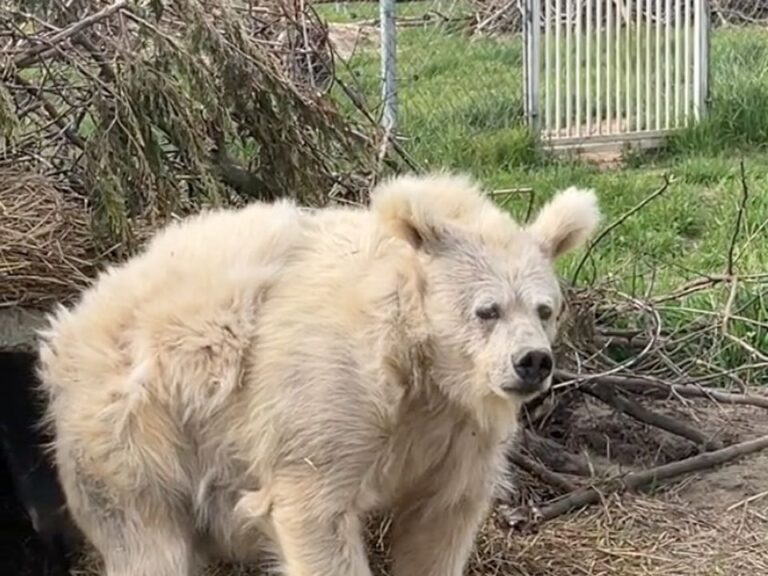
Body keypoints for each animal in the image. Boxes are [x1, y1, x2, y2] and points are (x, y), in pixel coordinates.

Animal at [36, 172, 600, 576]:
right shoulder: (328, 397)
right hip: (133, 432)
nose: (532, 361)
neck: (417, 362)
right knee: (147, 541)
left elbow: (440, 520)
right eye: (488, 309)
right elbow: (313, 509)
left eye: (545, 309)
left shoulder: (456, 433)